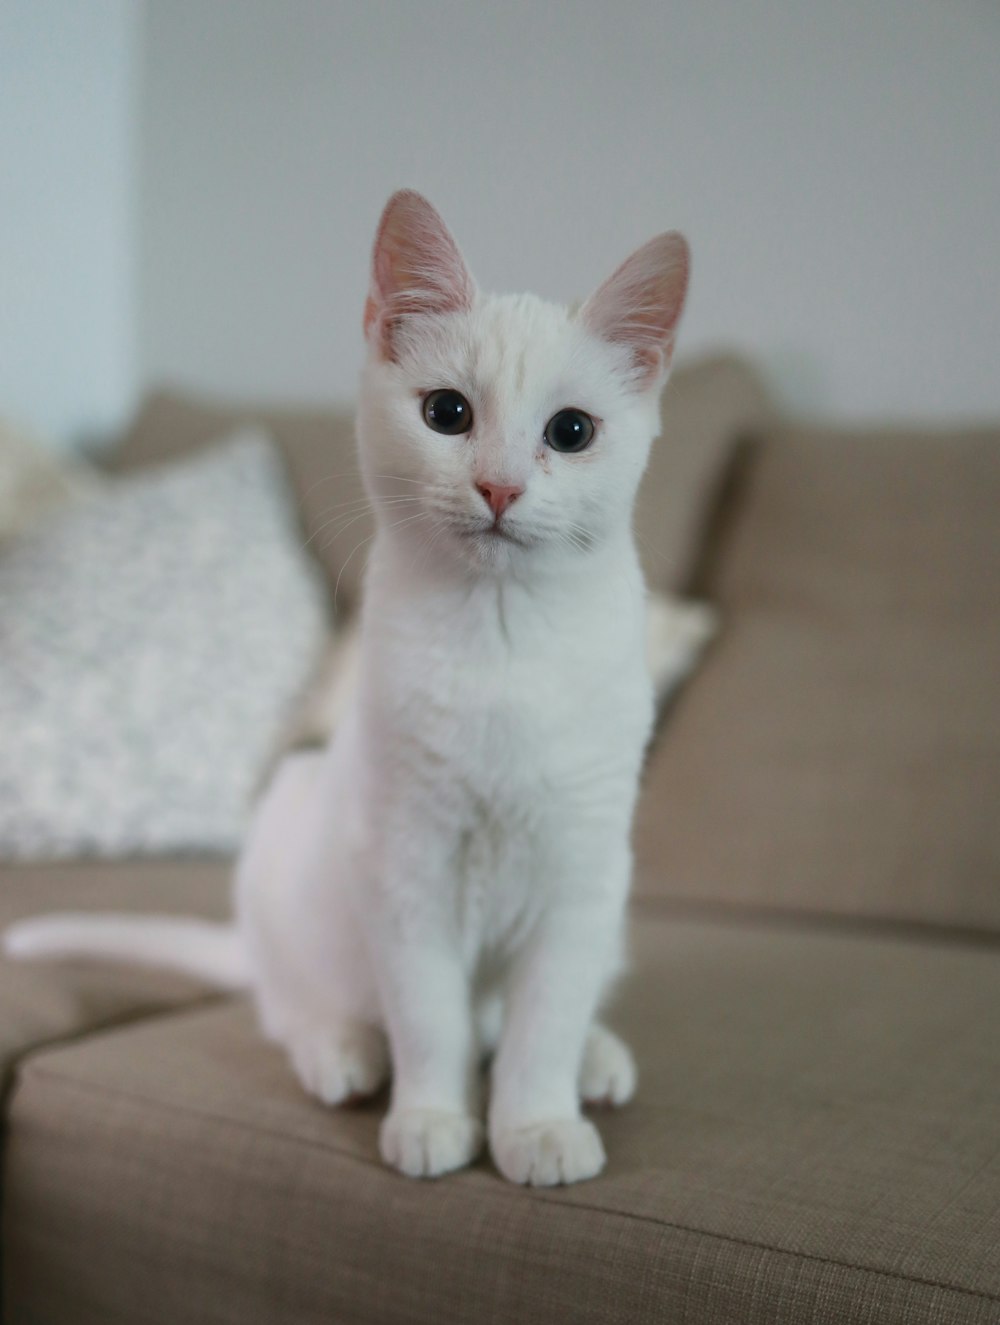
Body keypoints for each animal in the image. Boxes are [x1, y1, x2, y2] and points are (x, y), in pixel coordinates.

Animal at [3, 189, 688, 1192]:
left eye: (571, 431)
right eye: (447, 412)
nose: (499, 485)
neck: (502, 641)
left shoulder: (581, 875)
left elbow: (542, 1027)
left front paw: (536, 1123)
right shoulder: (403, 868)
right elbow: (433, 1021)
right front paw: (435, 1117)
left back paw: (597, 1058)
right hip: (287, 846)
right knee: (289, 1005)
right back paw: (343, 1050)